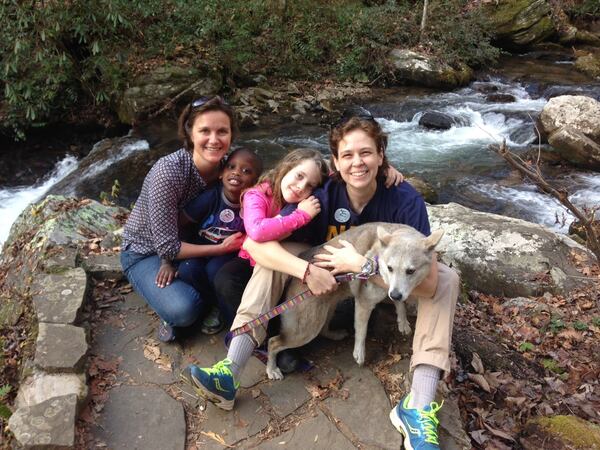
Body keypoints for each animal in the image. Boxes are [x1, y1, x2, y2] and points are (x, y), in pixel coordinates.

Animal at [264, 222, 442, 380]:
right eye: (390, 268)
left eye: (411, 271)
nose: (395, 294)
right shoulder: (364, 303)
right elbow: (361, 332)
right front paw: (359, 353)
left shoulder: (393, 290)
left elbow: (400, 304)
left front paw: (402, 321)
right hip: (307, 329)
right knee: (273, 342)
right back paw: (271, 369)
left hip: (326, 310)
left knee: (323, 329)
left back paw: (335, 334)